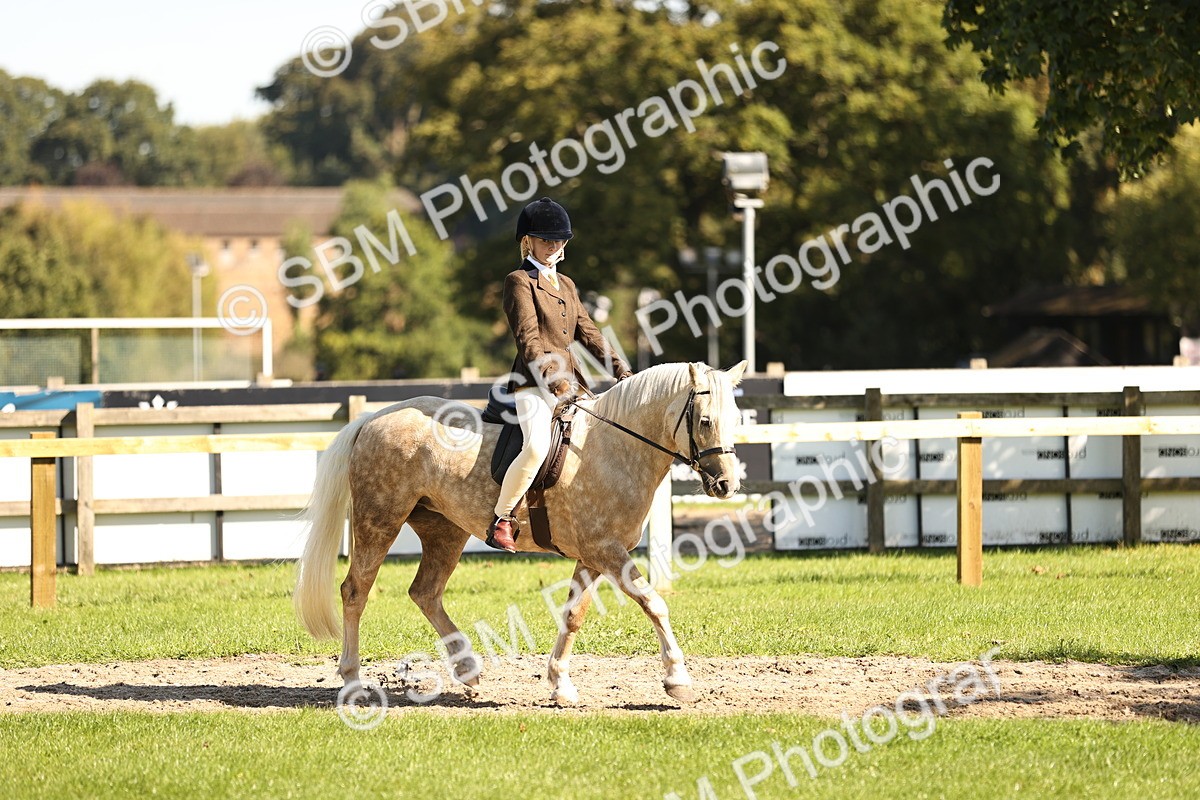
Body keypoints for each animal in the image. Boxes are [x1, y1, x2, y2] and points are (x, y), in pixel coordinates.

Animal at [293, 360, 747, 704]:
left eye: (737, 420)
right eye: (705, 421)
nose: (727, 485)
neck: (612, 448)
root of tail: (373, 418)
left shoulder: (593, 555)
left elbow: (572, 615)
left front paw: (560, 684)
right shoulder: (607, 550)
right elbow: (654, 603)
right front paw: (678, 679)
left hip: (444, 530)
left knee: (425, 592)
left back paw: (468, 670)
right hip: (379, 519)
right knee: (356, 591)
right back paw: (353, 681)